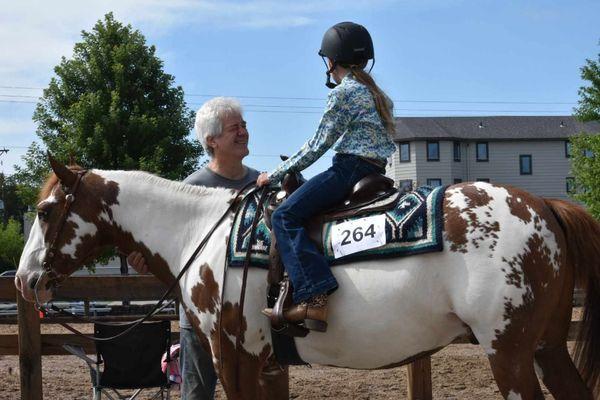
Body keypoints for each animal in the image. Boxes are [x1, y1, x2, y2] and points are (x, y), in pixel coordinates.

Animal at [14, 160, 600, 400]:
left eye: (44, 211)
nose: (22, 280)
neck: (201, 232)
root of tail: (542, 205)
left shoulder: (236, 356)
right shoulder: (269, 362)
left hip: (509, 352)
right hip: (546, 346)